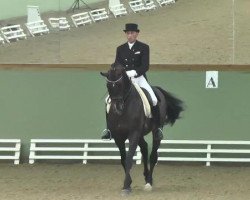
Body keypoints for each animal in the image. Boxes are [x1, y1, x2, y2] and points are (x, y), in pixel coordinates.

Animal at [100, 64, 184, 195]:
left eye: (120, 85)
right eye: (108, 86)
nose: (117, 108)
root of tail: (157, 89)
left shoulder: (133, 134)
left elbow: (129, 159)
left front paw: (126, 186)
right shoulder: (119, 137)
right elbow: (123, 159)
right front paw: (128, 183)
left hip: (154, 132)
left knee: (153, 156)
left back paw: (149, 182)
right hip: (140, 134)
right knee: (144, 148)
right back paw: (146, 176)